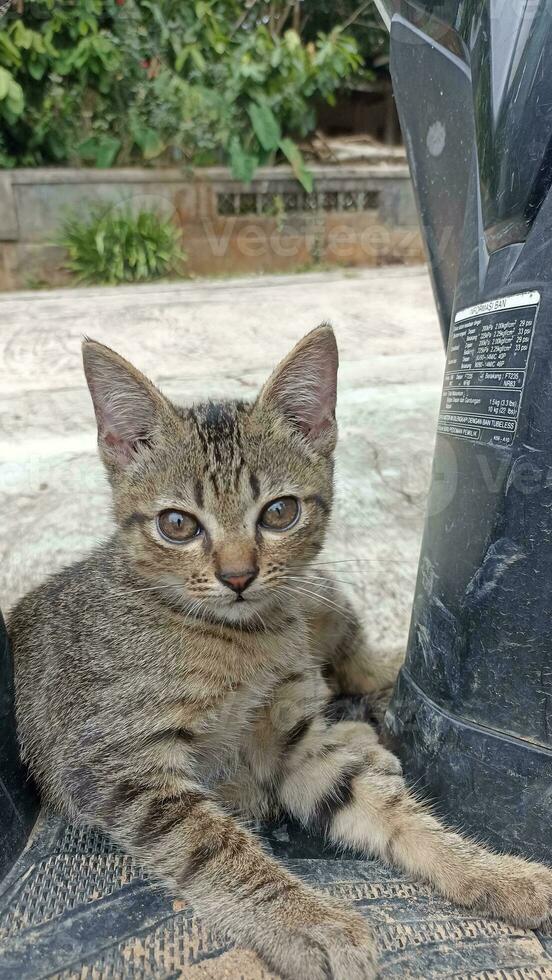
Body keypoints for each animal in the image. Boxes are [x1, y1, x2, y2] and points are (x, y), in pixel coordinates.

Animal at [7, 326, 552, 976]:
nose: (238, 575)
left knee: (354, 666)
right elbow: (214, 846)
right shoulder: (116, 763)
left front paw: (488, 870)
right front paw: (308, 921)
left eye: (279, 512)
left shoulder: (291, 739)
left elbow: (382, 808)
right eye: (176, 524)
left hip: (325, 595)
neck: (243, 640)